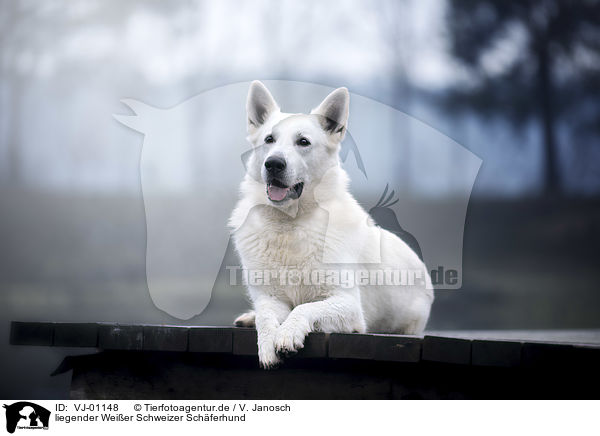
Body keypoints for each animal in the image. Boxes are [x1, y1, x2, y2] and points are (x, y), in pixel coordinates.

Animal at [229, 82, 432, 368]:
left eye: (303, 142)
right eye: (269, 140)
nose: (273, 164)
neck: (291, 224)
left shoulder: (348, 306)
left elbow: (304, 307)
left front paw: (288, 333)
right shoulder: (271, 298)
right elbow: (267, 316)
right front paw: (267, 343)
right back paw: (250, 317)